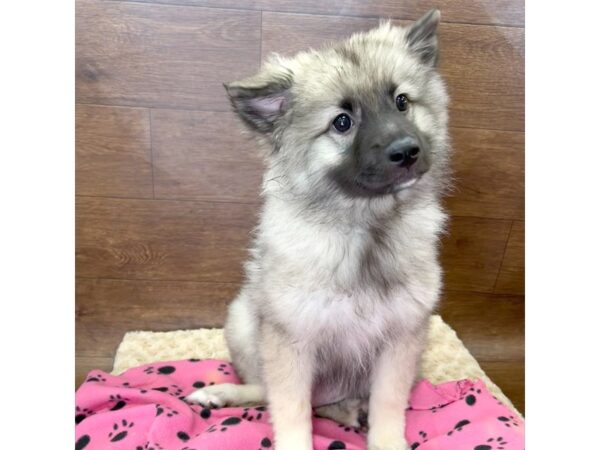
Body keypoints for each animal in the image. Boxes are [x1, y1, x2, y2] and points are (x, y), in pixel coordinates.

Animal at [188, 10, 450, 450]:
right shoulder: (292, 341)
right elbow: (290, 410)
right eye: (342, 122)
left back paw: (350, 411)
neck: (363, 225)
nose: (407, 151)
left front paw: (384, 438)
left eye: (401, 102)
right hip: (243, 319)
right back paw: (221, 393)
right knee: (269, 392)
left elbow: (388, 406)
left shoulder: (401, 340)